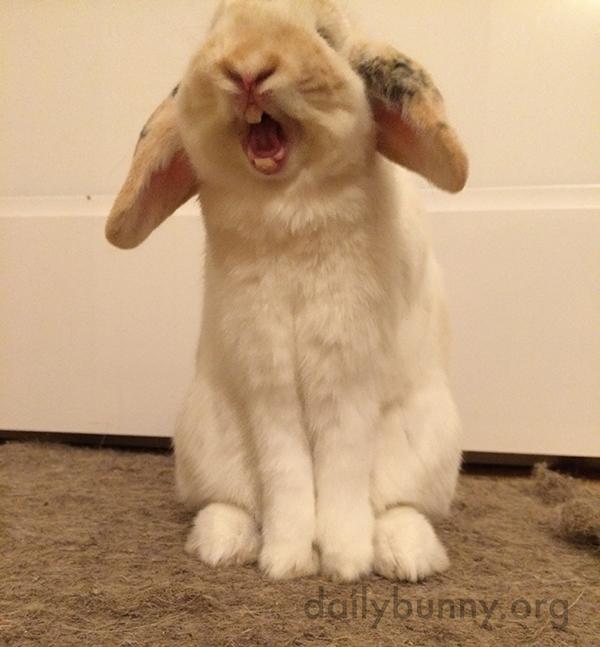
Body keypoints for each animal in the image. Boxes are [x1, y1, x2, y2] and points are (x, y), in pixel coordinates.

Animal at [106, 0, 468, 582]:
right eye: (216, 30)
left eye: (325, 35)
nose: (246, 69)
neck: (286, 209)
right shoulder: (266, 374)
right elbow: (287, 470)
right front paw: (287, 561)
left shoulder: (346, 371)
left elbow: (342, 467)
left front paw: (344, 563)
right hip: (207, 443)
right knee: (233, 501)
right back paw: (222, 542)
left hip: (428, 448)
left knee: (398, 506)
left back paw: (405, 556)